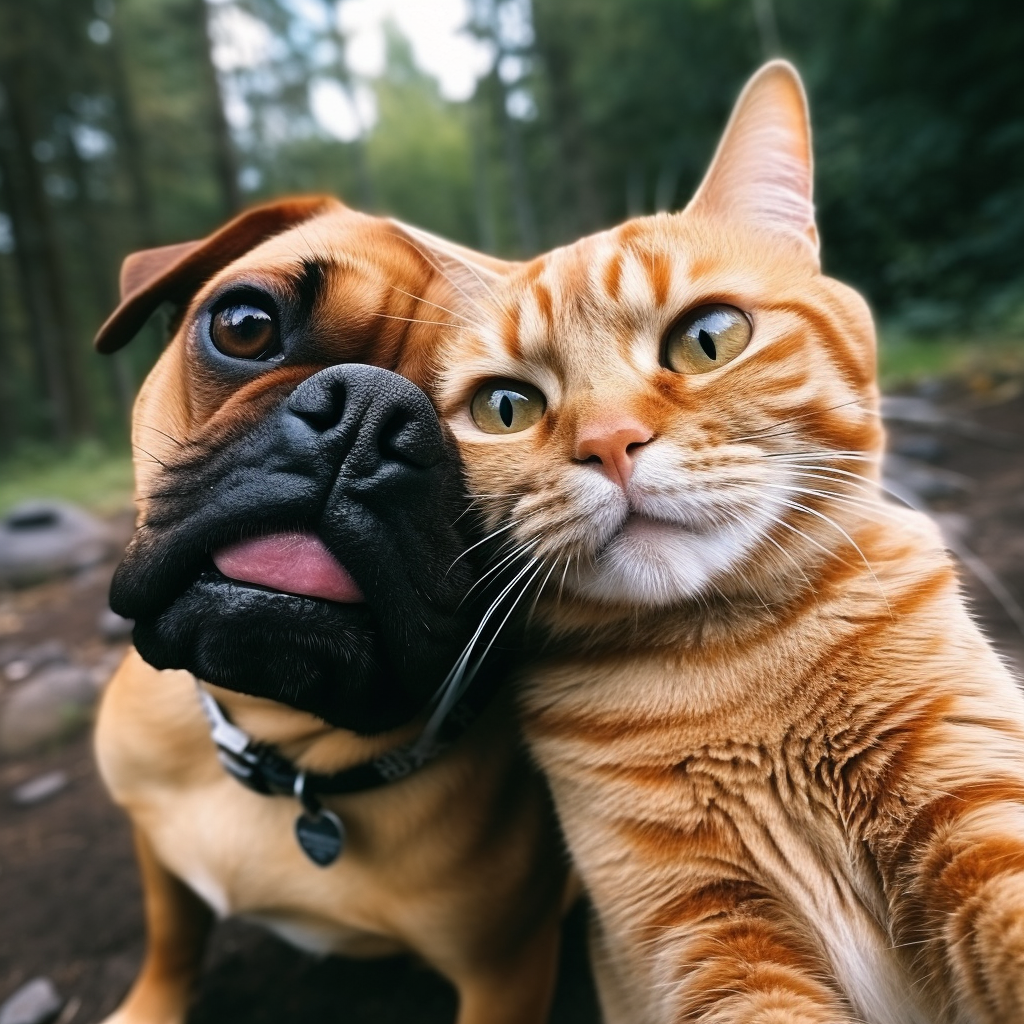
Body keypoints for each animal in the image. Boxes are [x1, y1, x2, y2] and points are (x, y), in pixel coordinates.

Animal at [92, 195, 573, 1019]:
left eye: (509, 410)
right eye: (243, 324)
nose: (372, 410)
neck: (286, 740)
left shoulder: (503, 974)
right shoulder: (155, 847)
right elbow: (172, 936)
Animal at [411, 61, 1024, 1024]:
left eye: (709, 338)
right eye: (507, 407)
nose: (609, 442)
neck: (733, 660)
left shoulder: (977, 817)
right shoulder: (698, 937)